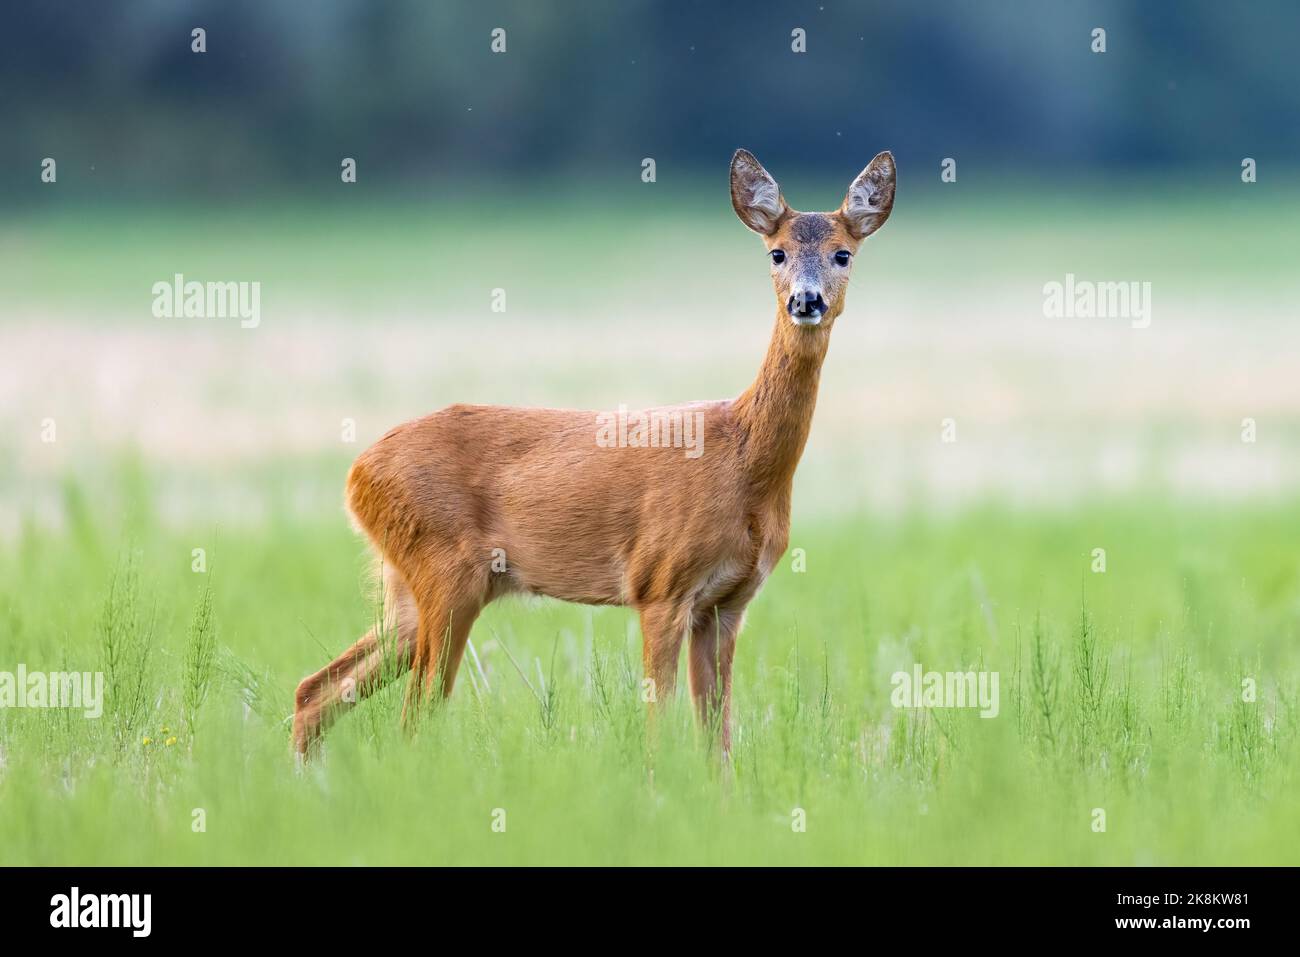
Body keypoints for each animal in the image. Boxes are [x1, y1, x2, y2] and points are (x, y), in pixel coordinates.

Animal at [293, 147, 894, 754]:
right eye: (777, 252)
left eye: (843, 253)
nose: (805, 300)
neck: (744, 461)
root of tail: (356, 474)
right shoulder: (659, 583)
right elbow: (659, 725)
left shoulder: (728, 603)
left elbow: (718, 738)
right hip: (446, 570)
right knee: (412, 715)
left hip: (408, 588)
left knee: (317, 689)